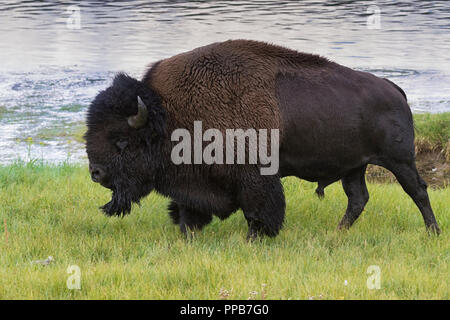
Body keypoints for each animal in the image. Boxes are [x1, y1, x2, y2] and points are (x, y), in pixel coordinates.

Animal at [84, 39, 440, 238]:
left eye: (121, 140)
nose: (96, 173)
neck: (170, 115)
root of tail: (393, 89)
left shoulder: (255, 176)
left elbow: (260, 210)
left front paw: (257, 237)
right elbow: (188, 209)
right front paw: (189, 233)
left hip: (399, 161)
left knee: (418, 191)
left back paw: (433, 233)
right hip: (355, 167)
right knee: (358, 199)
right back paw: (337, 233)